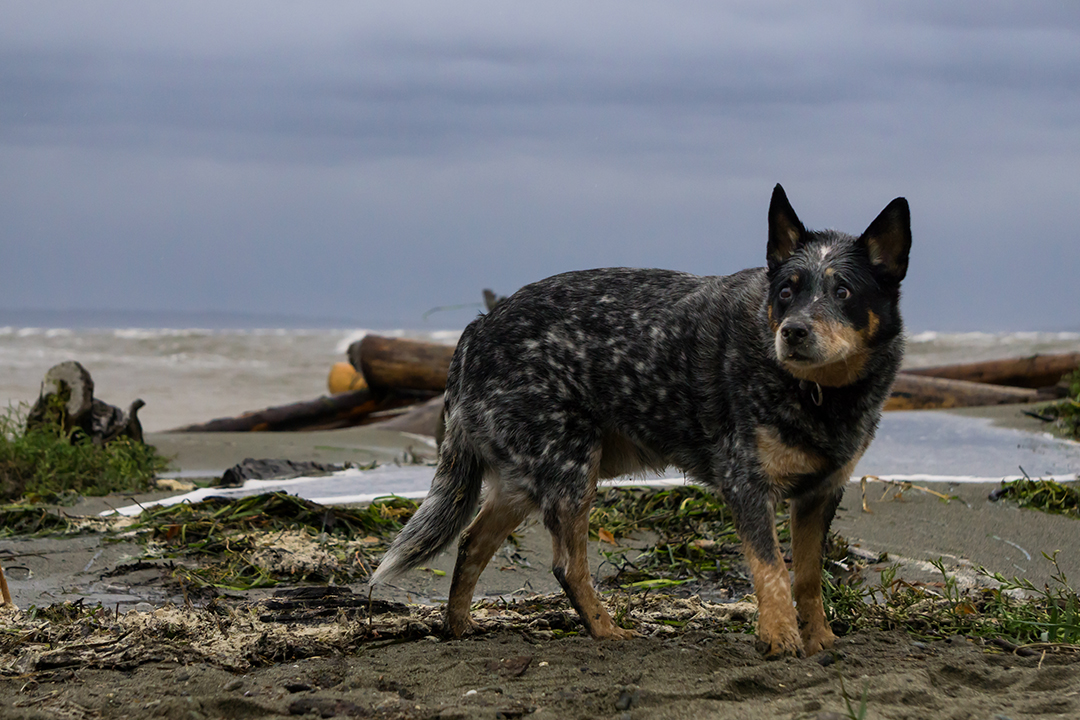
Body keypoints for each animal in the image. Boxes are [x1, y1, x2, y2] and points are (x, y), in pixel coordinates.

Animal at [371, 185, 911, 660]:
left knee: (471, 543)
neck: (818, 393)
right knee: (567, 566)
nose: (794, 331)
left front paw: (820, 640)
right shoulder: (746, 484)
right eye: (785, 291)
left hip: (524, 478)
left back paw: (459, 626)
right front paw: (779, 639)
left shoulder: (822, 492)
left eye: (843, 291)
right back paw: (606, 630)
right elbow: (772, 569)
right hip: (571, 469)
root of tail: (477, 327)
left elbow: (808, 576)